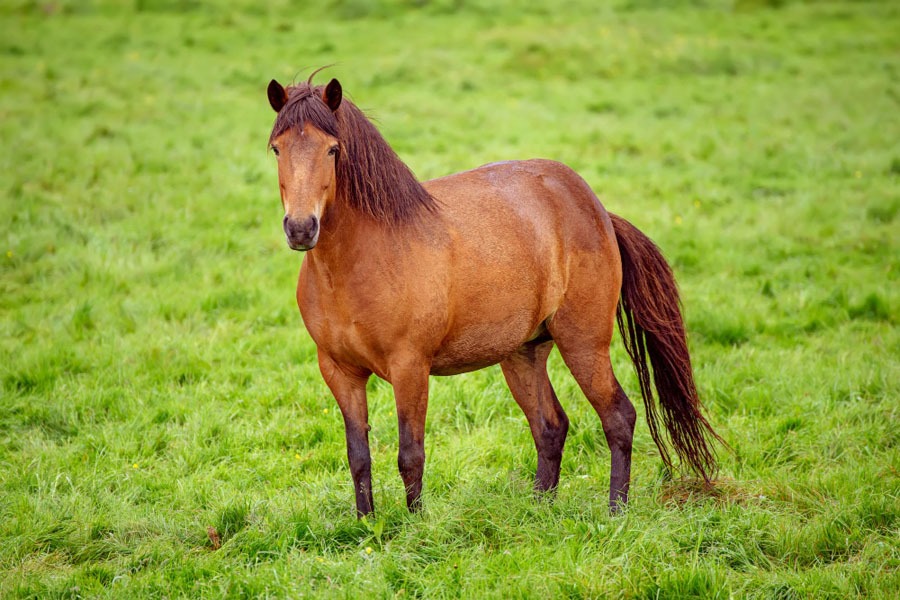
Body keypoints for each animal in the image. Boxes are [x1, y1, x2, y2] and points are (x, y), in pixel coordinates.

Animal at [264, 74, 720, 516]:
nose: (301, 228)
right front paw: (367, 525)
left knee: (619, 417)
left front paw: (415, 527)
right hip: (523, 352)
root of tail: (598, 212)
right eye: (276, 148)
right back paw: (539, 510)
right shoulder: (340, 372)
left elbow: (410, 454)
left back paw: (615, 512)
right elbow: (359, 457)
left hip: (584, 343)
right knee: (550, 426)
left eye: (333, 149)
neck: (361, 261)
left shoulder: (409, 367)